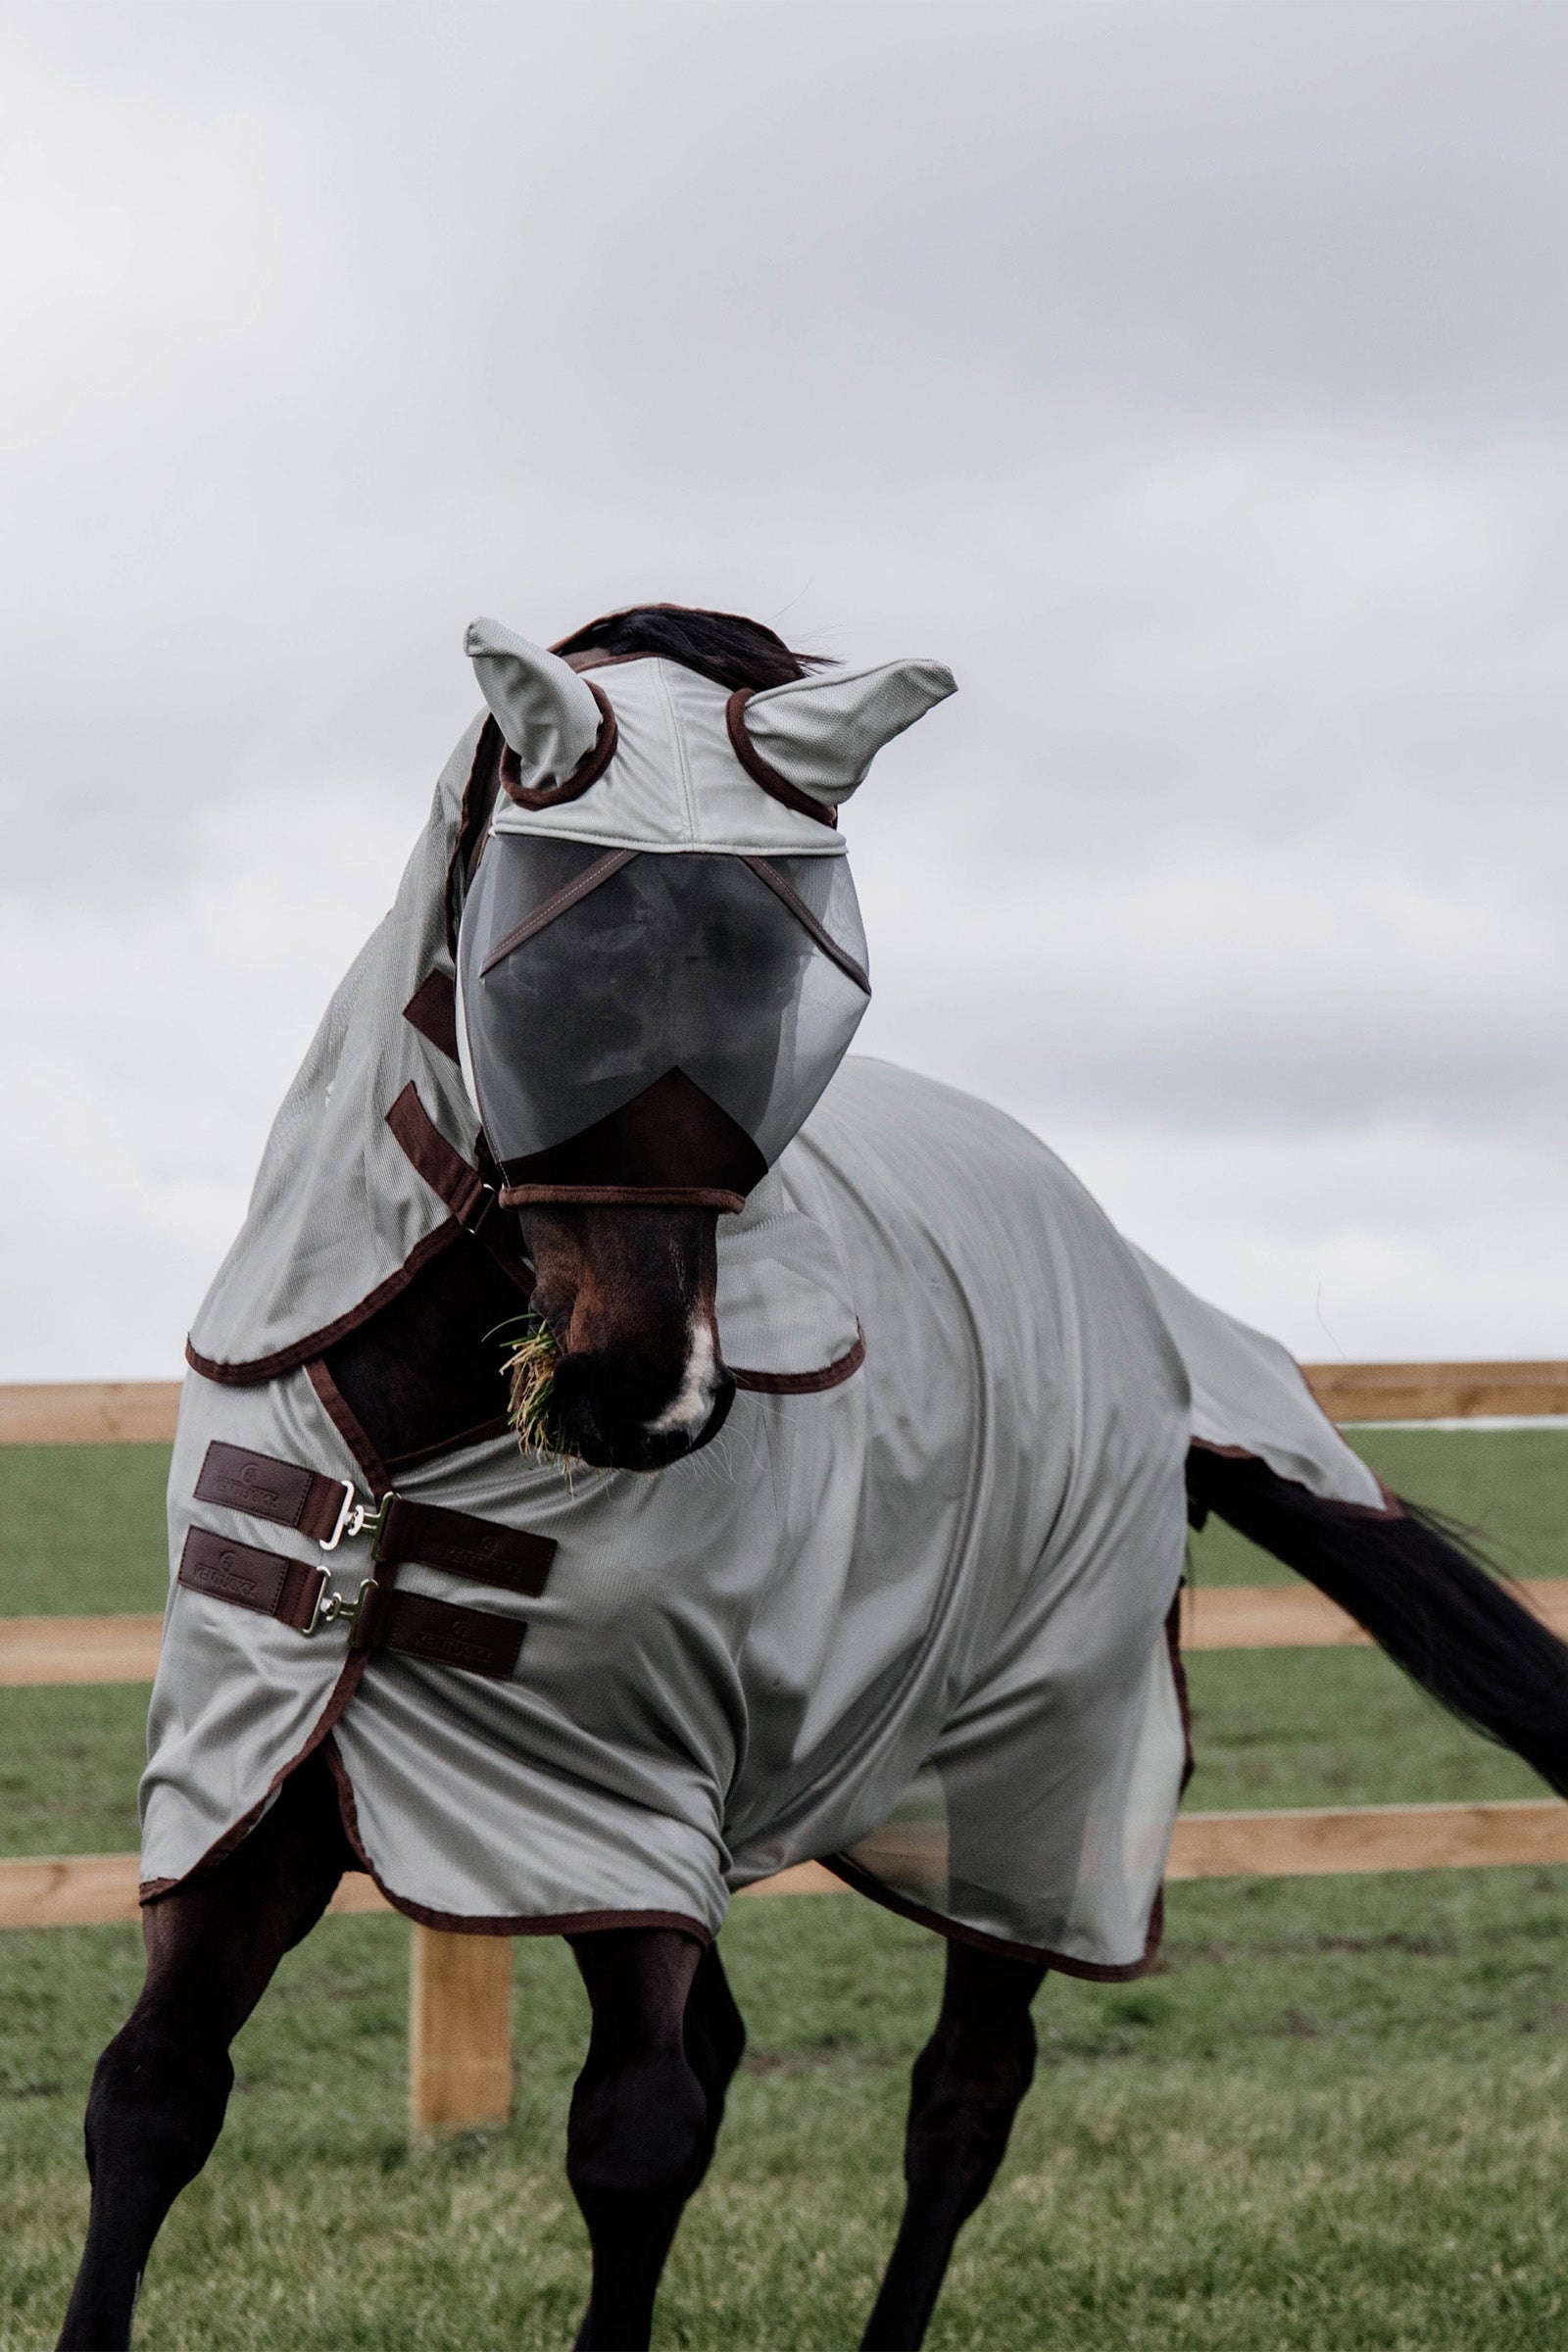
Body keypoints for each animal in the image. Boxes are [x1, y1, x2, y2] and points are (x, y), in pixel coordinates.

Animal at [58, 603, 1568, 2351]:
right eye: (544, 962)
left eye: (787, 980)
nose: (647, 1391)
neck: (417, 1453)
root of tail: (1138, 1288)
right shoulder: (273, 1783)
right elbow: (155, 2097)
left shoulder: (622, 1807)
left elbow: (636, 2142)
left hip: (1041, 1774)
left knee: (964, 2096)